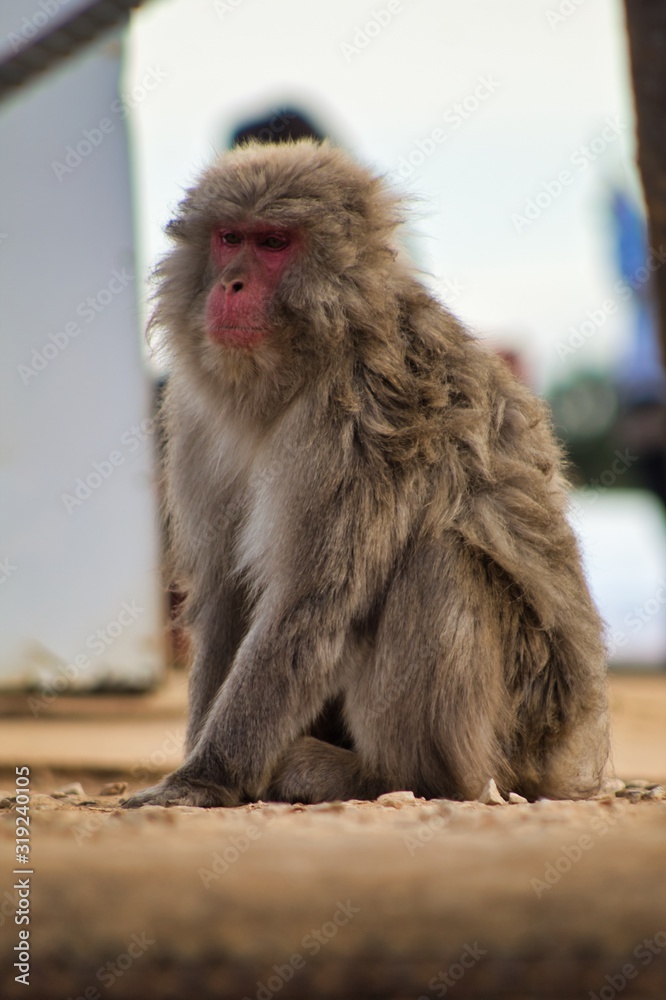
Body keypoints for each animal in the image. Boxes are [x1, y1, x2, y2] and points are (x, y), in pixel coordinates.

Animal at [122, 139, 610, 809]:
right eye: (229, 237)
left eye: (273, 243)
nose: (231, 283)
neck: (303, 365)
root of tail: (561, 756)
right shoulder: (194, 416)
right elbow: (225, 591)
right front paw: (201, 761)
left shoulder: (356, 417)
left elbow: (312, 603)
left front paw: (205, 776)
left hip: (515, 729)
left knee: (437, 558)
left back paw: (395, 778)